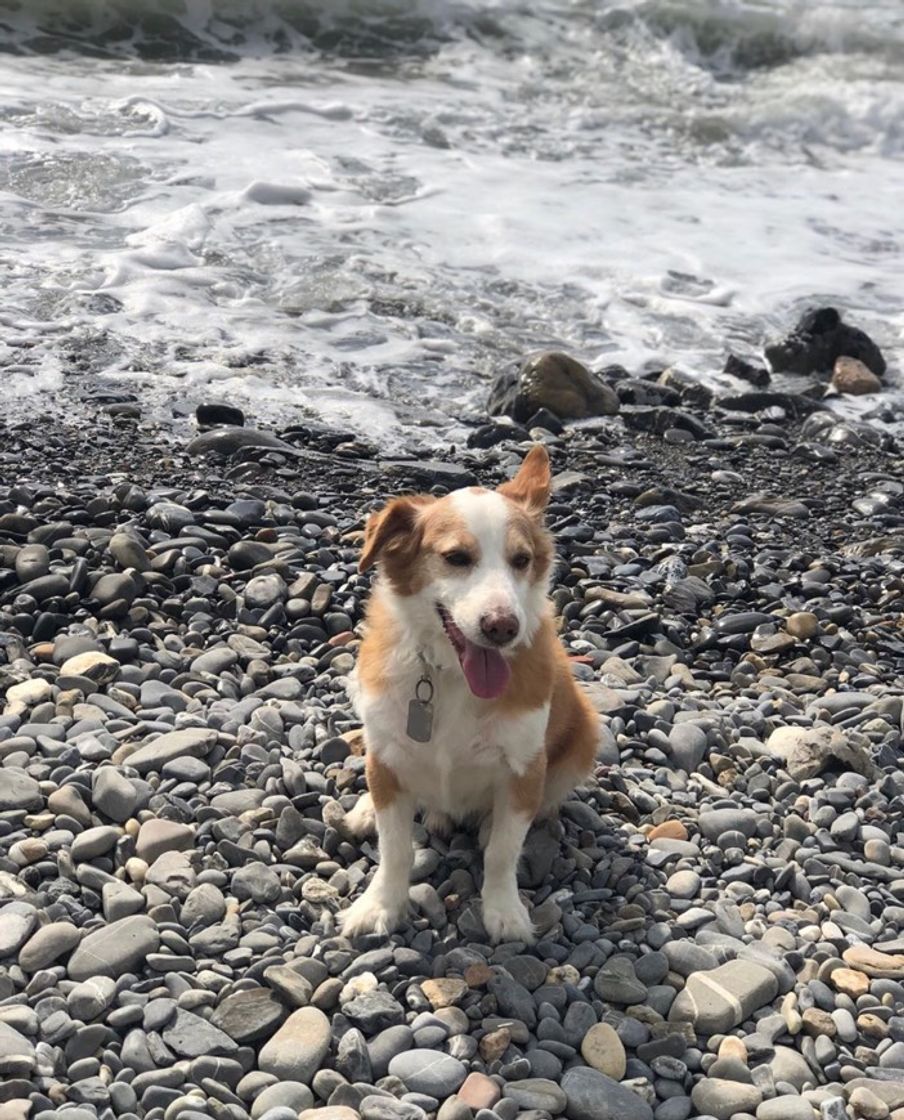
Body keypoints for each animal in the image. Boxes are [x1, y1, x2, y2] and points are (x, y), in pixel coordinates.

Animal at [340, 445, 600, 945]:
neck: (450, 676)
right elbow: (395, 848)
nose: (503, 627)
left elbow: (502, 851)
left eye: (521, 559)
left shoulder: (524, 767)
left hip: (586, 735)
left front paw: (504, 912)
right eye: (456, 557)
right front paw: (380, 905)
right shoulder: (388, 754)